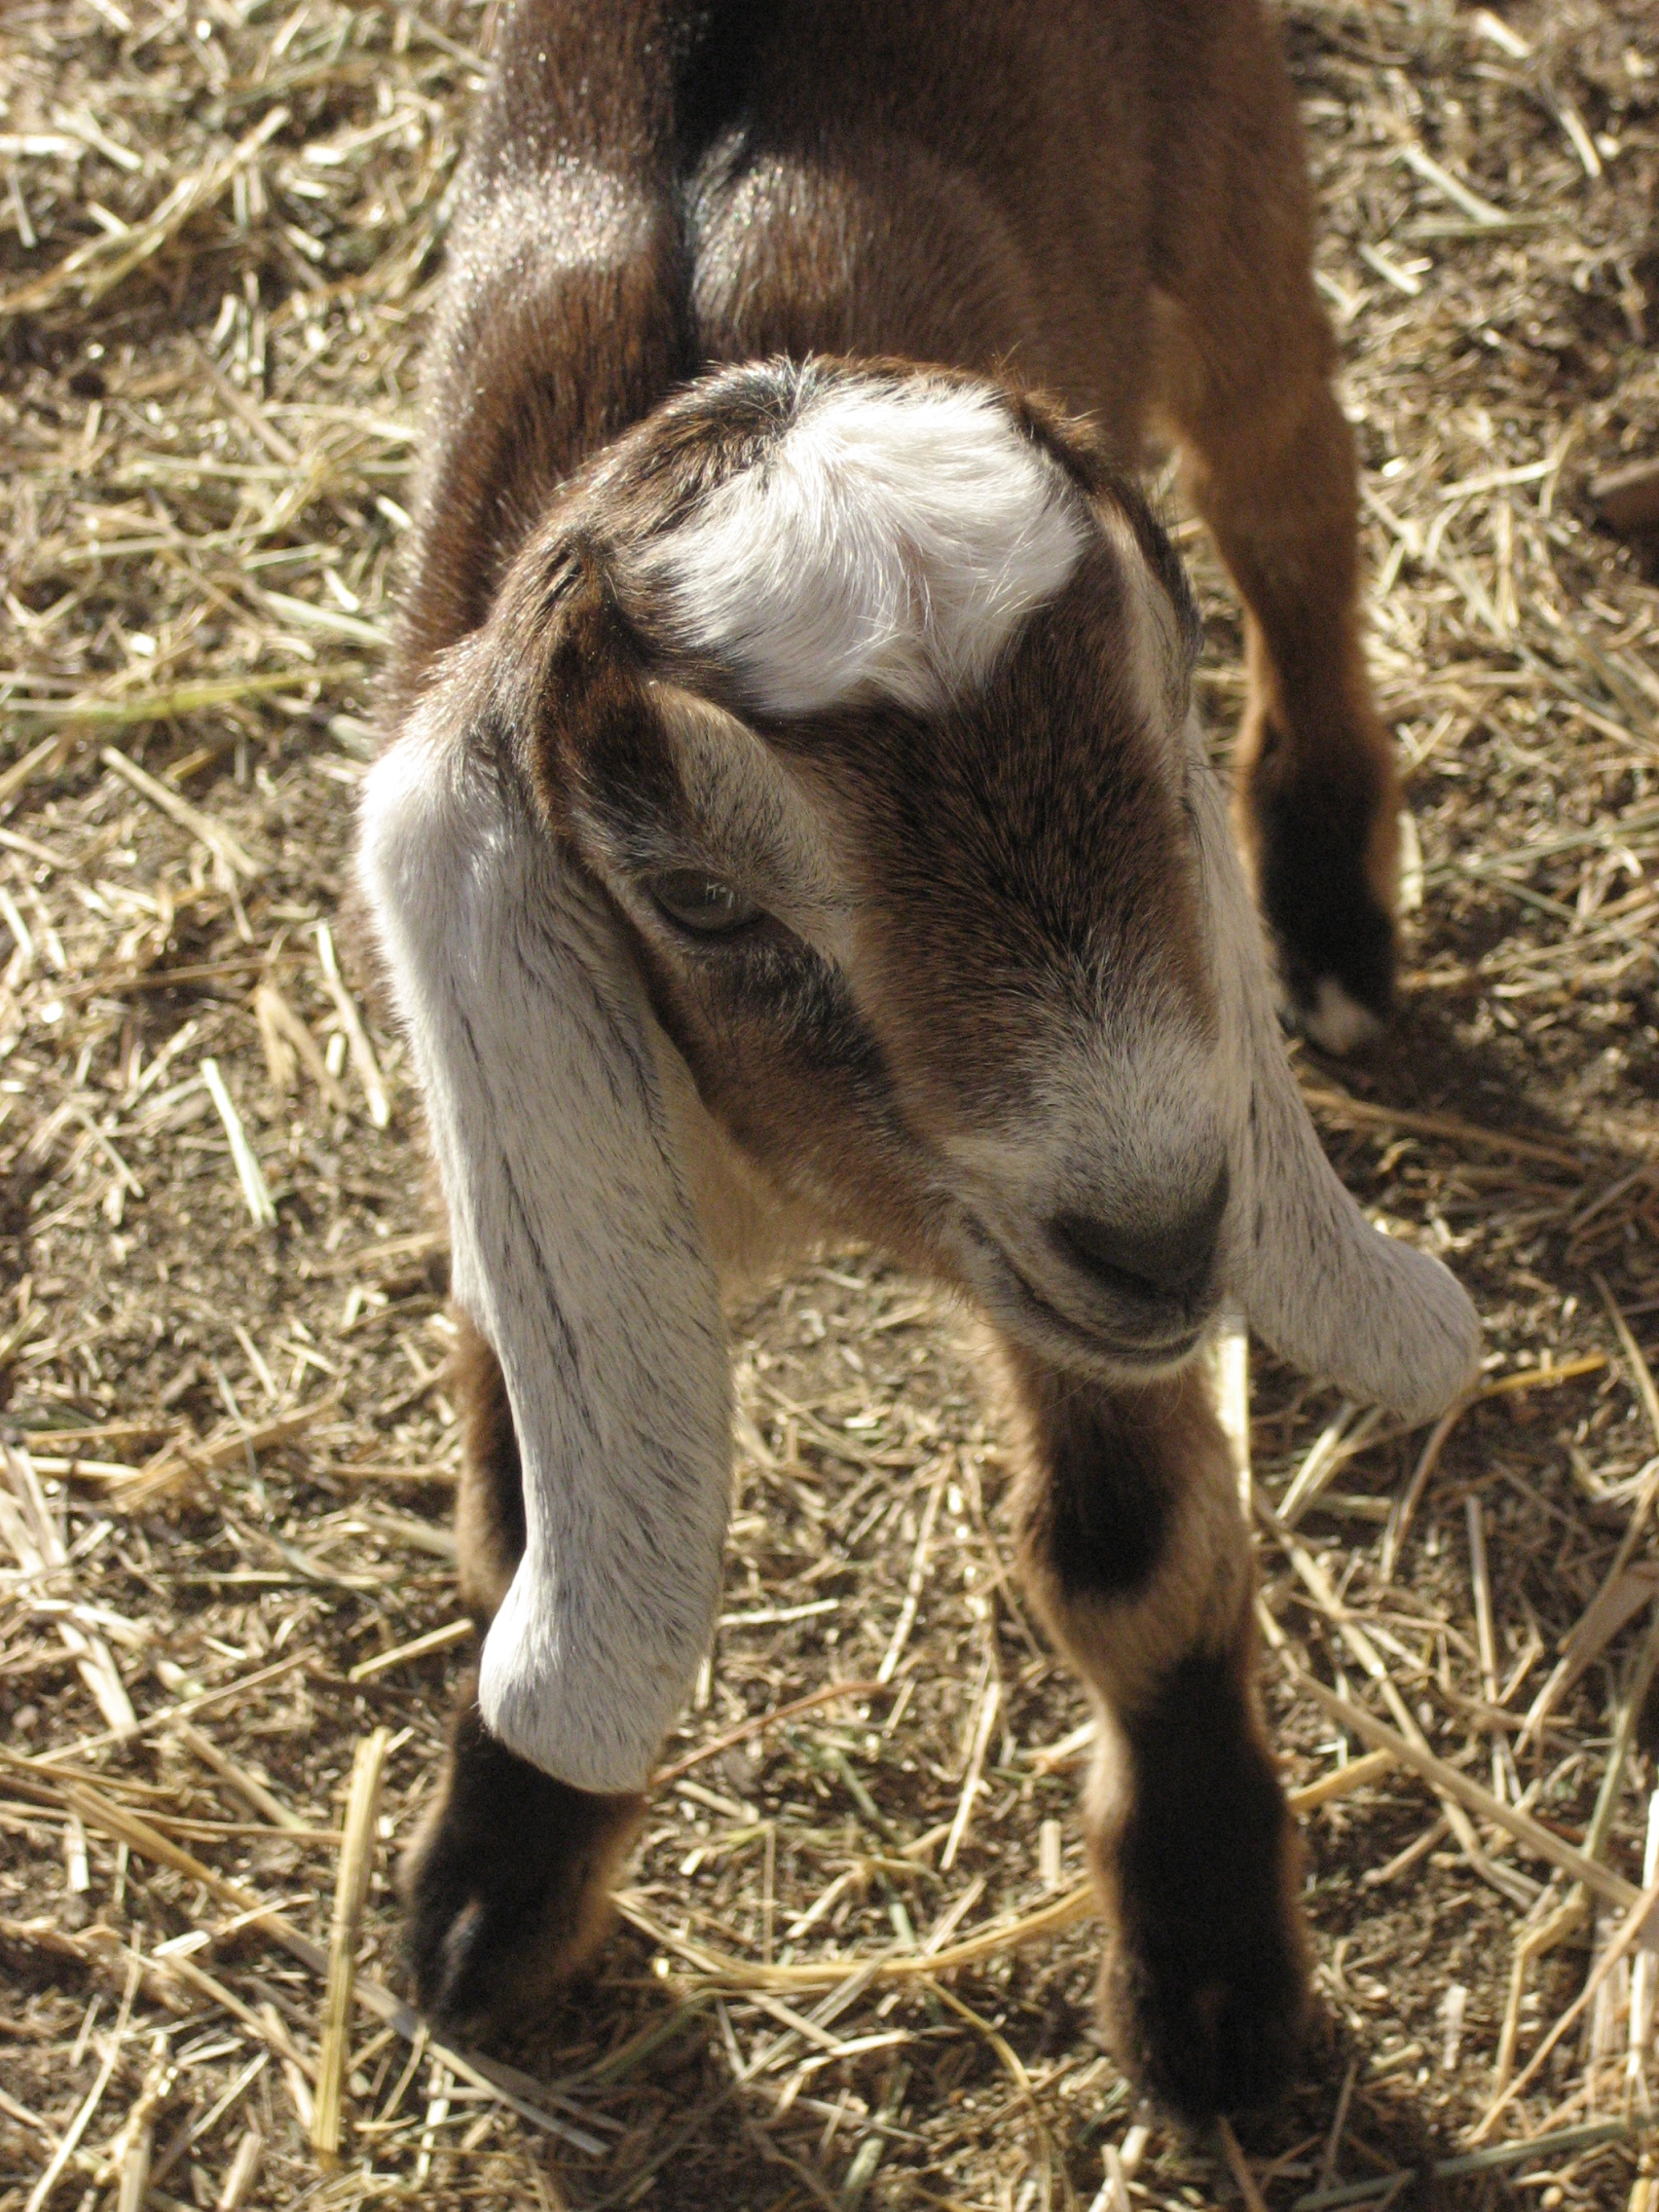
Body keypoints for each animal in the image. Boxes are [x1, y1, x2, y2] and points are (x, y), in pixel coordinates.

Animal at [356, 0, 1482, 2122]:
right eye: (697, 898)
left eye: (1155, 711)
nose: (1170, 1233)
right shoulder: (530, 1122)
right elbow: (523, 1494)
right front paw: (487, 1901)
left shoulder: (1060, 1257)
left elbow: (1133, 1548)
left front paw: (1216, 1976)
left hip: (1235, 194)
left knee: (1298, 500)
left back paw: (1326, 900)